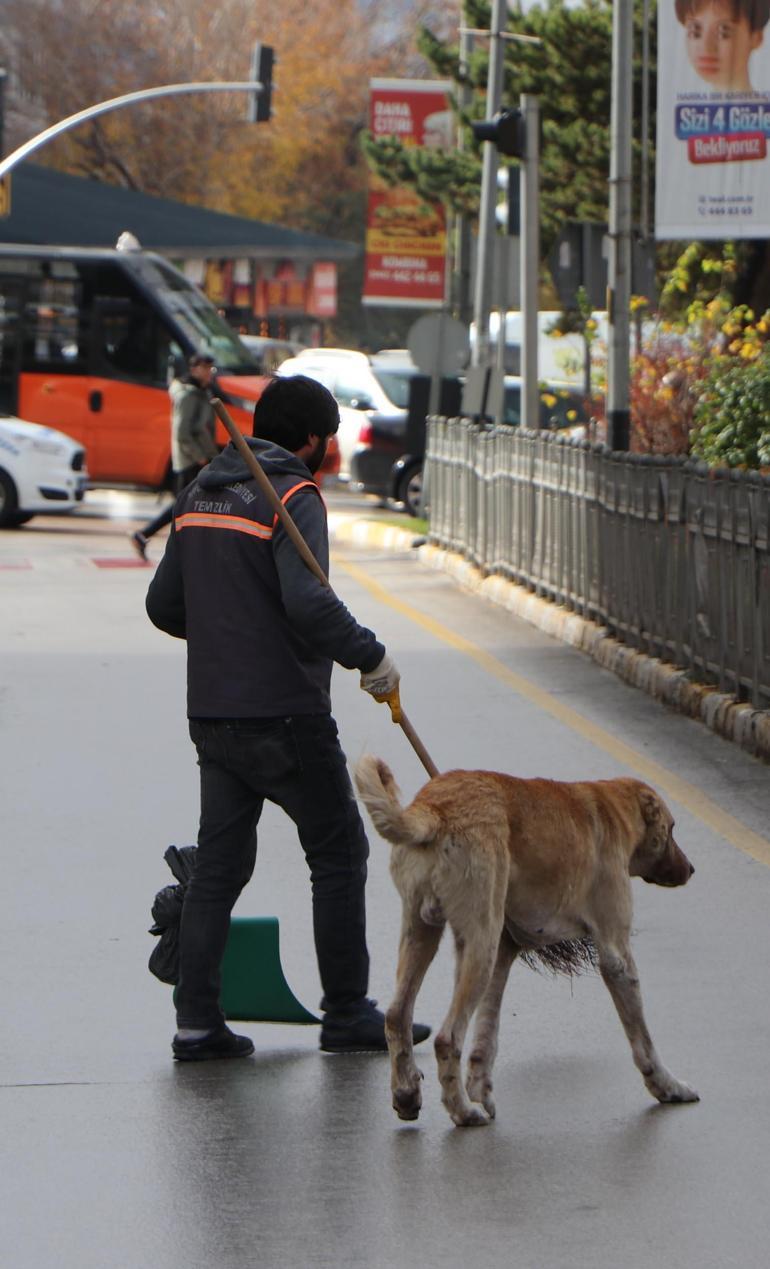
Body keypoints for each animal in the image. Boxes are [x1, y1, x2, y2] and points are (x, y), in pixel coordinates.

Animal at [355, 756, 700, 1126]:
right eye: (672, 828)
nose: (690, 869)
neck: (613, 808)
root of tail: (435, 808)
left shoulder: (505, 951)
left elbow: (487, 1034)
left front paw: (480, 1087)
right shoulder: (615, 954)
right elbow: (643, 1038)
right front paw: (667, 1085)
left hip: (423, 932)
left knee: (397, 1015)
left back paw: (407, 1093)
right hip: (479, 942)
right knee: (447, 1037)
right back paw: (462, 1111)